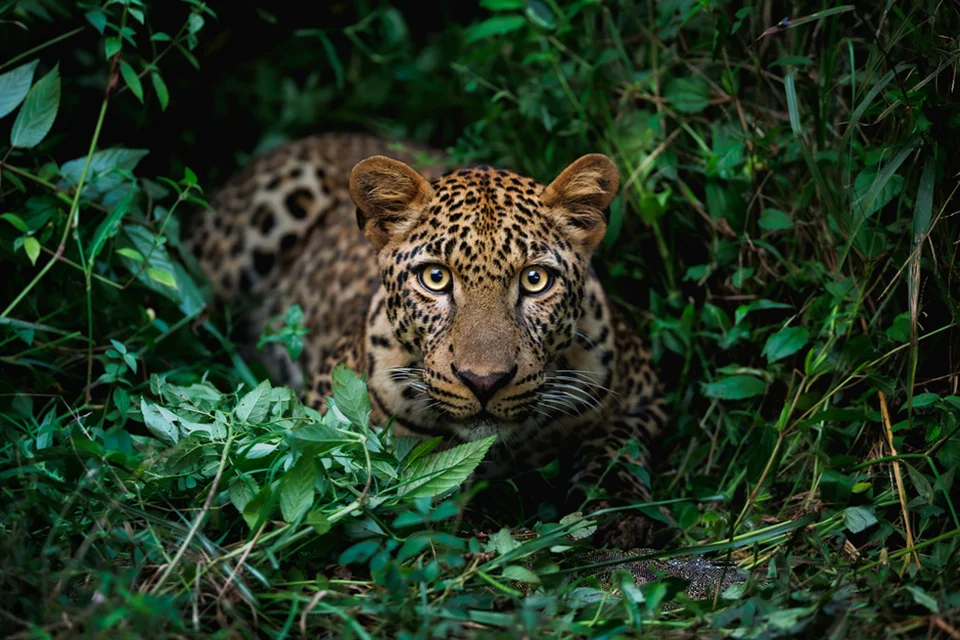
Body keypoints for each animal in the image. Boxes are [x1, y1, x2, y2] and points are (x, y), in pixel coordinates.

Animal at [184, 133, 669, 550]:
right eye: (435, 278)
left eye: (535, 280)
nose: (484, 381)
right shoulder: (327, 413)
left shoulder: (644, 394)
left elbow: (617, 446)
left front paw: (622, 512)